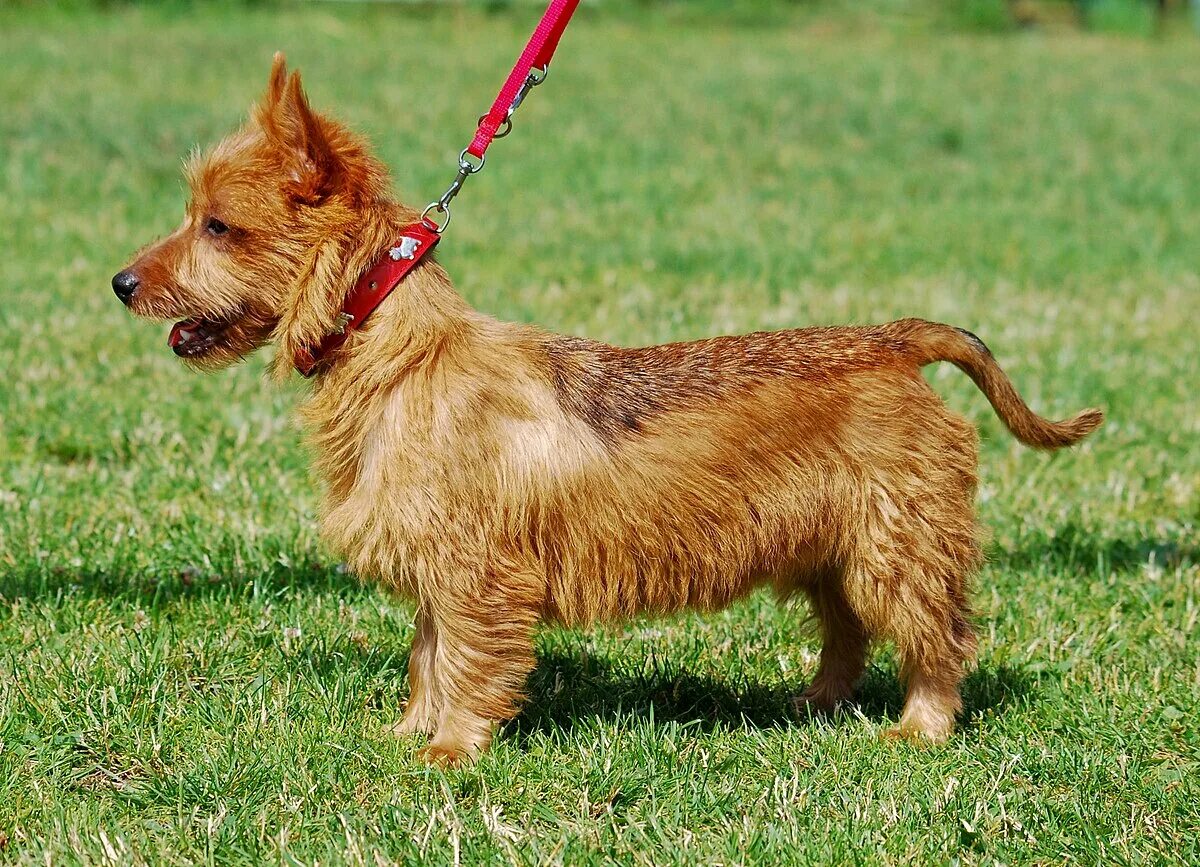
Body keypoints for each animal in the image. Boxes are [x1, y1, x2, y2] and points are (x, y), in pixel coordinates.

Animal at [117, 54, 1099, 758]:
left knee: (938, 640)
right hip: (833, 549)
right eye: (194, 214)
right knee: (849, 634)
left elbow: (466, 659)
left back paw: (920, 726)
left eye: (218, 226)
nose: (123, 282)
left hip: (899, 546)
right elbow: (430, 654)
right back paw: (816, 703)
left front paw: (449, 751)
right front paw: (409, 730)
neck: (399, 350)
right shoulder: (438, 566)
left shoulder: (478, 572)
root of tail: (895, 340)